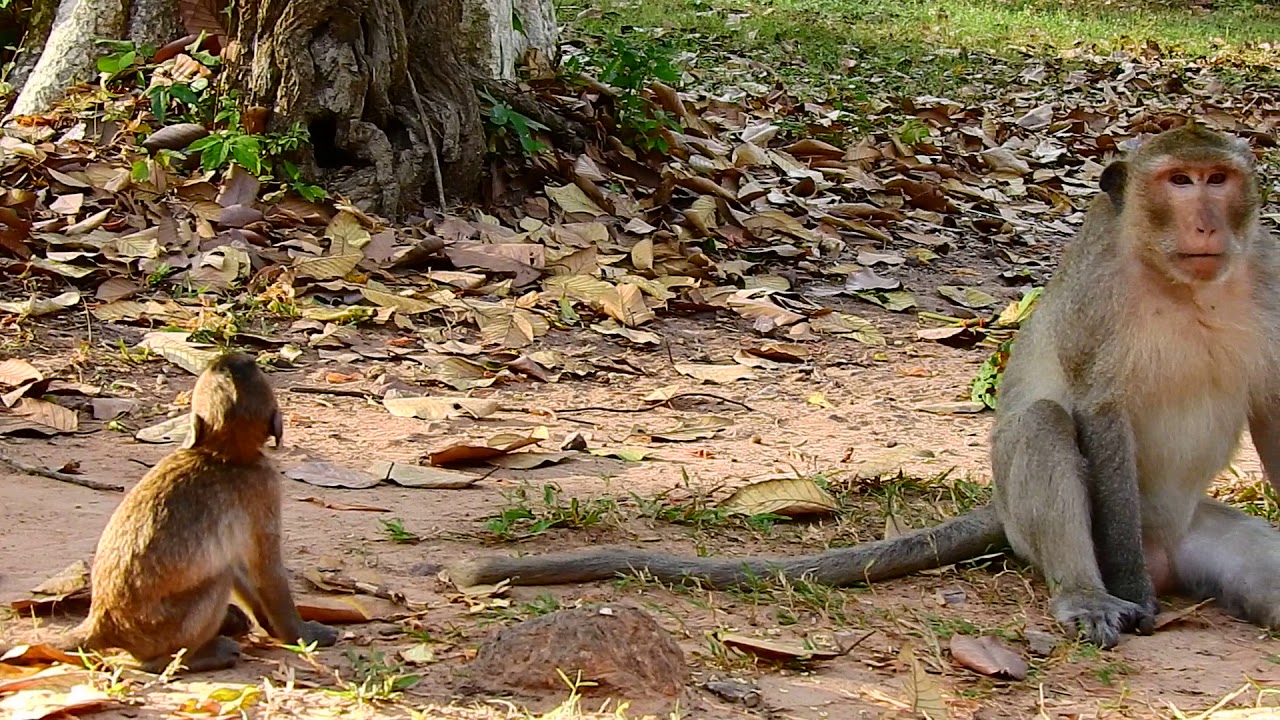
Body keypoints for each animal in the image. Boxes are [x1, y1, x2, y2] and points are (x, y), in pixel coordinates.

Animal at [54, 352, 338, 673]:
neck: (221, 452)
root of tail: (103, 622)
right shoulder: (264, 487)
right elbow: (266, 570)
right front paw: (301, 635)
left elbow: (240, 562)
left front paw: (268, 625)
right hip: (163, 629)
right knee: (220, 577)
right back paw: (178, 659)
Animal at [448, 123, 1280, 649]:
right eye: (1179, 182)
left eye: (1219, 180)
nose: (1206, 222)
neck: (1181, 285)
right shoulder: (1099, 304)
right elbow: (1098, 414)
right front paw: (1132, 598)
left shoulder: (1268, 271)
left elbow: (1272, 410)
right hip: (1044, 527)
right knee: (1042, 424)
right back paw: (1088, 589)